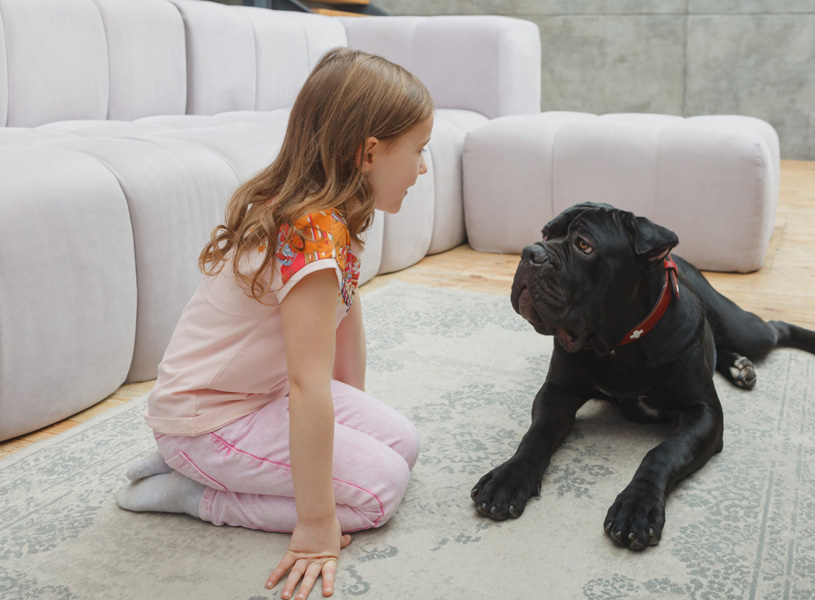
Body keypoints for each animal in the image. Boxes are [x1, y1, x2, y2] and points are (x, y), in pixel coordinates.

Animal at [472, 204, 815, 552]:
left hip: (746, 330)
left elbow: (663, 452)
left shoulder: (704, 413)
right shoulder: (557, 391)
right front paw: (508, 477)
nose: (531, 252)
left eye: (584, 245)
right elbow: (536, 435)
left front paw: (637, 506)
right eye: (545, 233)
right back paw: (738, 366)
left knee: (774, 328)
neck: (618, 345)